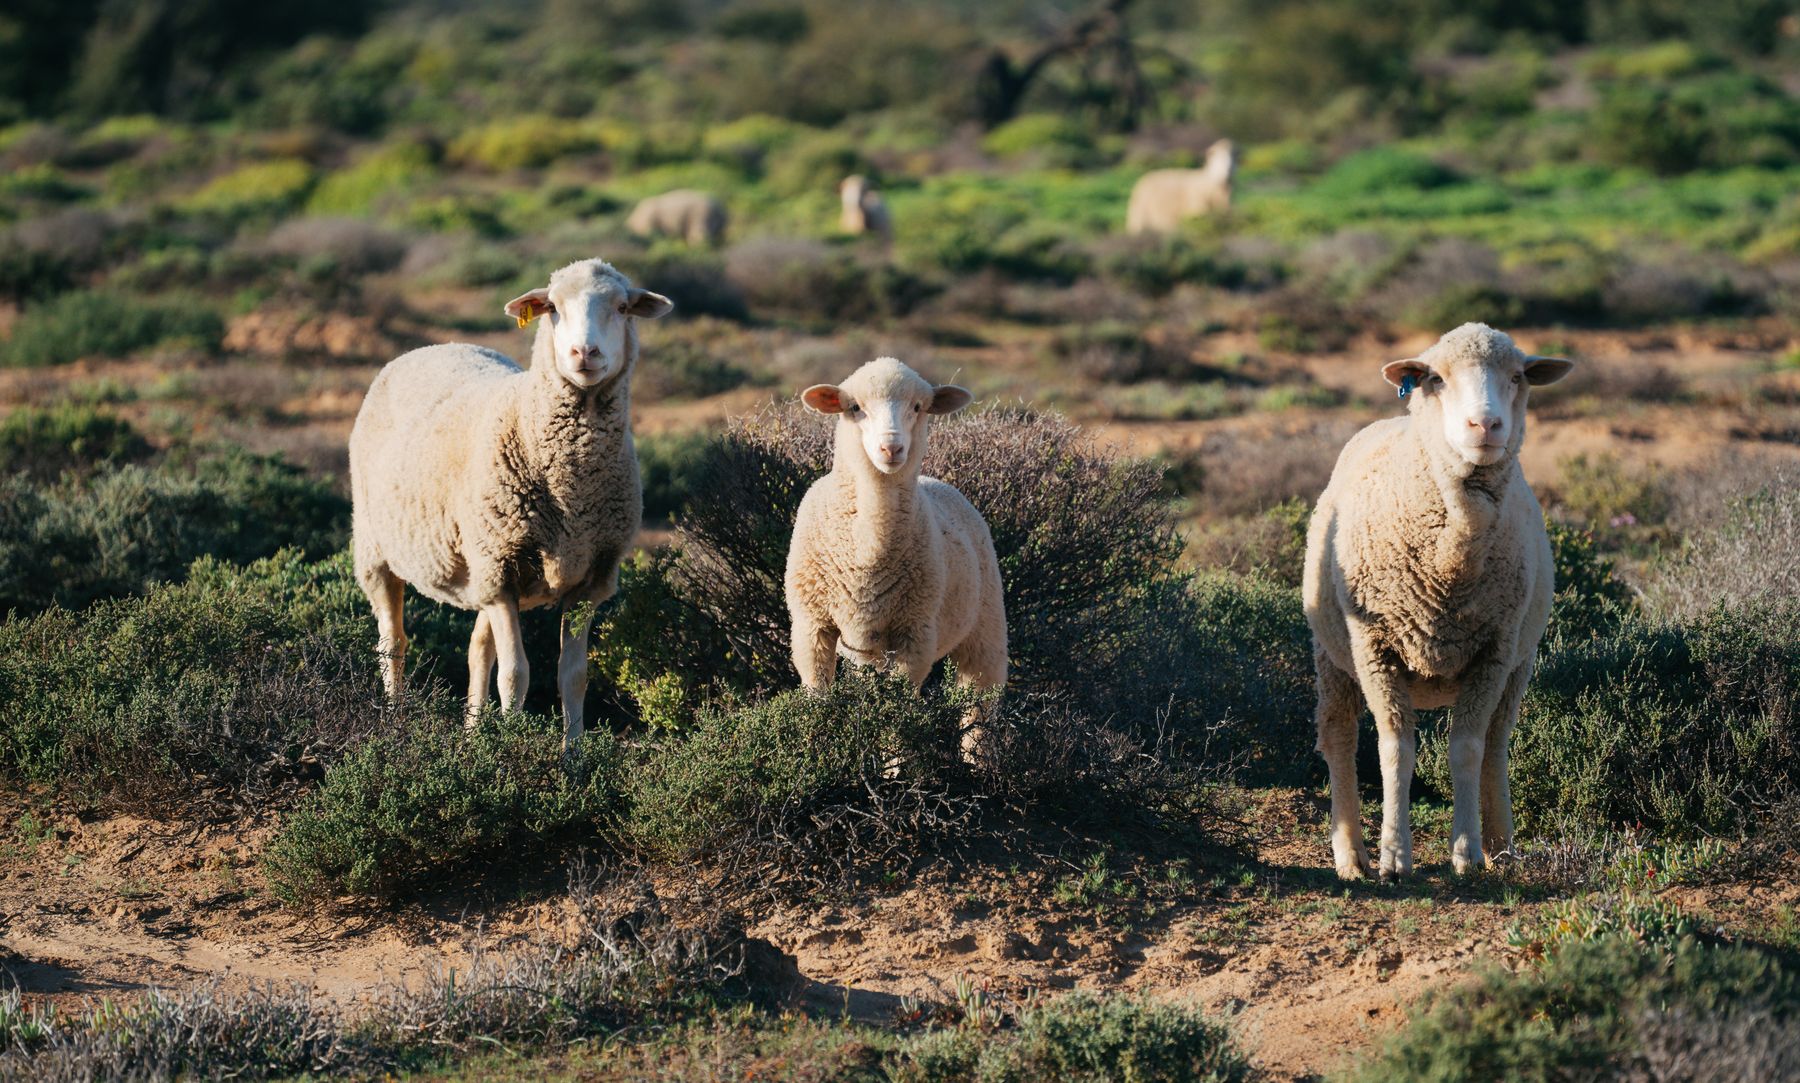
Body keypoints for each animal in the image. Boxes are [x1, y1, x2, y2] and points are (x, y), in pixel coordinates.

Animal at [349, 258, 673, 750]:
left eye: (621, 307)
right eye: (552, 308)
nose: (584, 353)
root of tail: (436, 345)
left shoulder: (587, 580)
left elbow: (572, 677)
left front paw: (573, 758)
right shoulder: (501, 573)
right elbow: (516, 675)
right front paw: (510, 747)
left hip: (483, 565)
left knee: (477, 649)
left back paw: (472, 733)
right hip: (379, 551)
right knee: (394, 644)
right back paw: (395, 722)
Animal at [785, 358, 1008, 757]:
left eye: (918, 407)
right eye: (854, 407)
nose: (891, 448)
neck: (867, 551)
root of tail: (940, 482)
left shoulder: (914, 636)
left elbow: (896, 721)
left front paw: (893, 768)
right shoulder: (811, 626)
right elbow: (817, 700)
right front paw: (815, 754)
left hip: (987, 626)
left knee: (980, 708)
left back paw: (978, 763)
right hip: (868, 653)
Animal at [1303, 323, 1573, 880]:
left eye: (1517, 377)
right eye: (1436, 379)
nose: (1486, 424)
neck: (1450, 563)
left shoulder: (1494, 652)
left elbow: (1466, 750)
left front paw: (1467, 851)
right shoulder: (1374, 647)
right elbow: (1394, 751)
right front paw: (1394, 855)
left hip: (1520, 664)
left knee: (1496, 743)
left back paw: (1501, 846)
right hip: (1333, 655)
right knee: (1338, 735)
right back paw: (1351, 856)